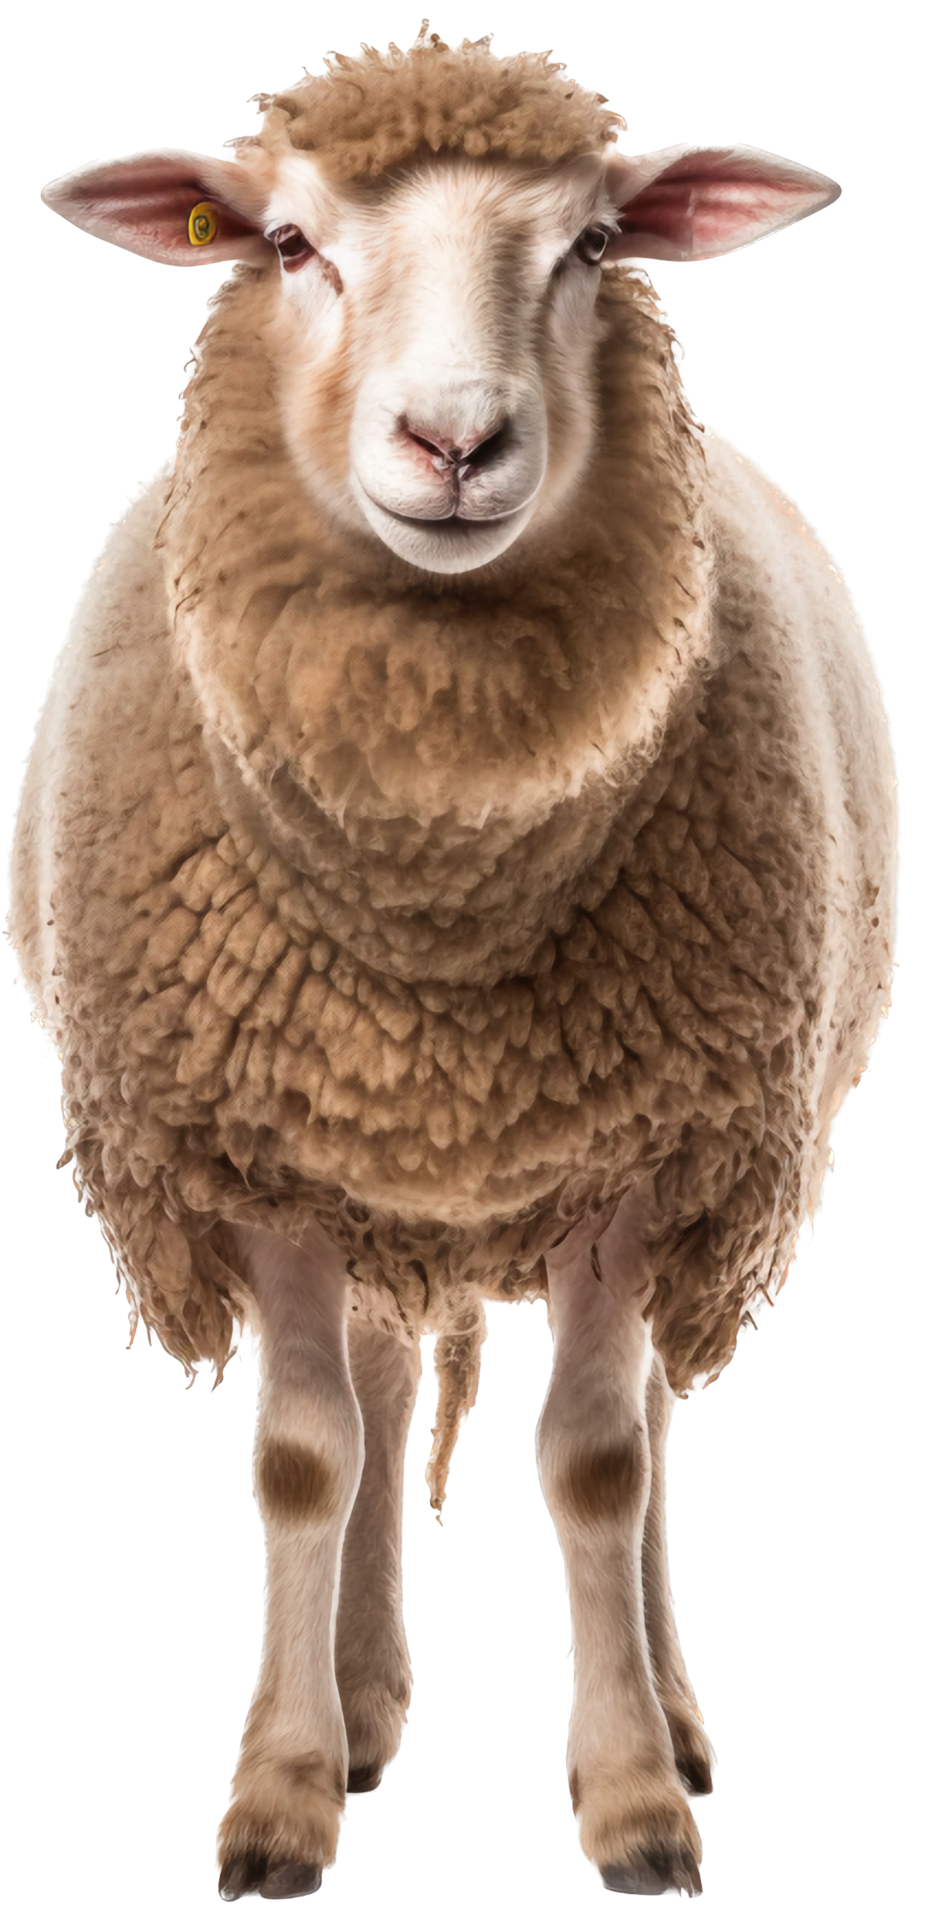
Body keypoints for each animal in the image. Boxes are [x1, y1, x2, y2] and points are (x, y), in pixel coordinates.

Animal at [9, 21, 900, 1904]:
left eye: (595, 244)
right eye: (285, 246)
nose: (455, 439)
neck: (436, 905)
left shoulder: (647, 1152)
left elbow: (599, 1459)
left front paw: (630, 1803)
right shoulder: (259, 1155)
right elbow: (303, 1458)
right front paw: (279, 1796)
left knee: (648, 1416)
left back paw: (673, 1727)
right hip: (372, 1167)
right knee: (369, 1385)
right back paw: (358, 1708)